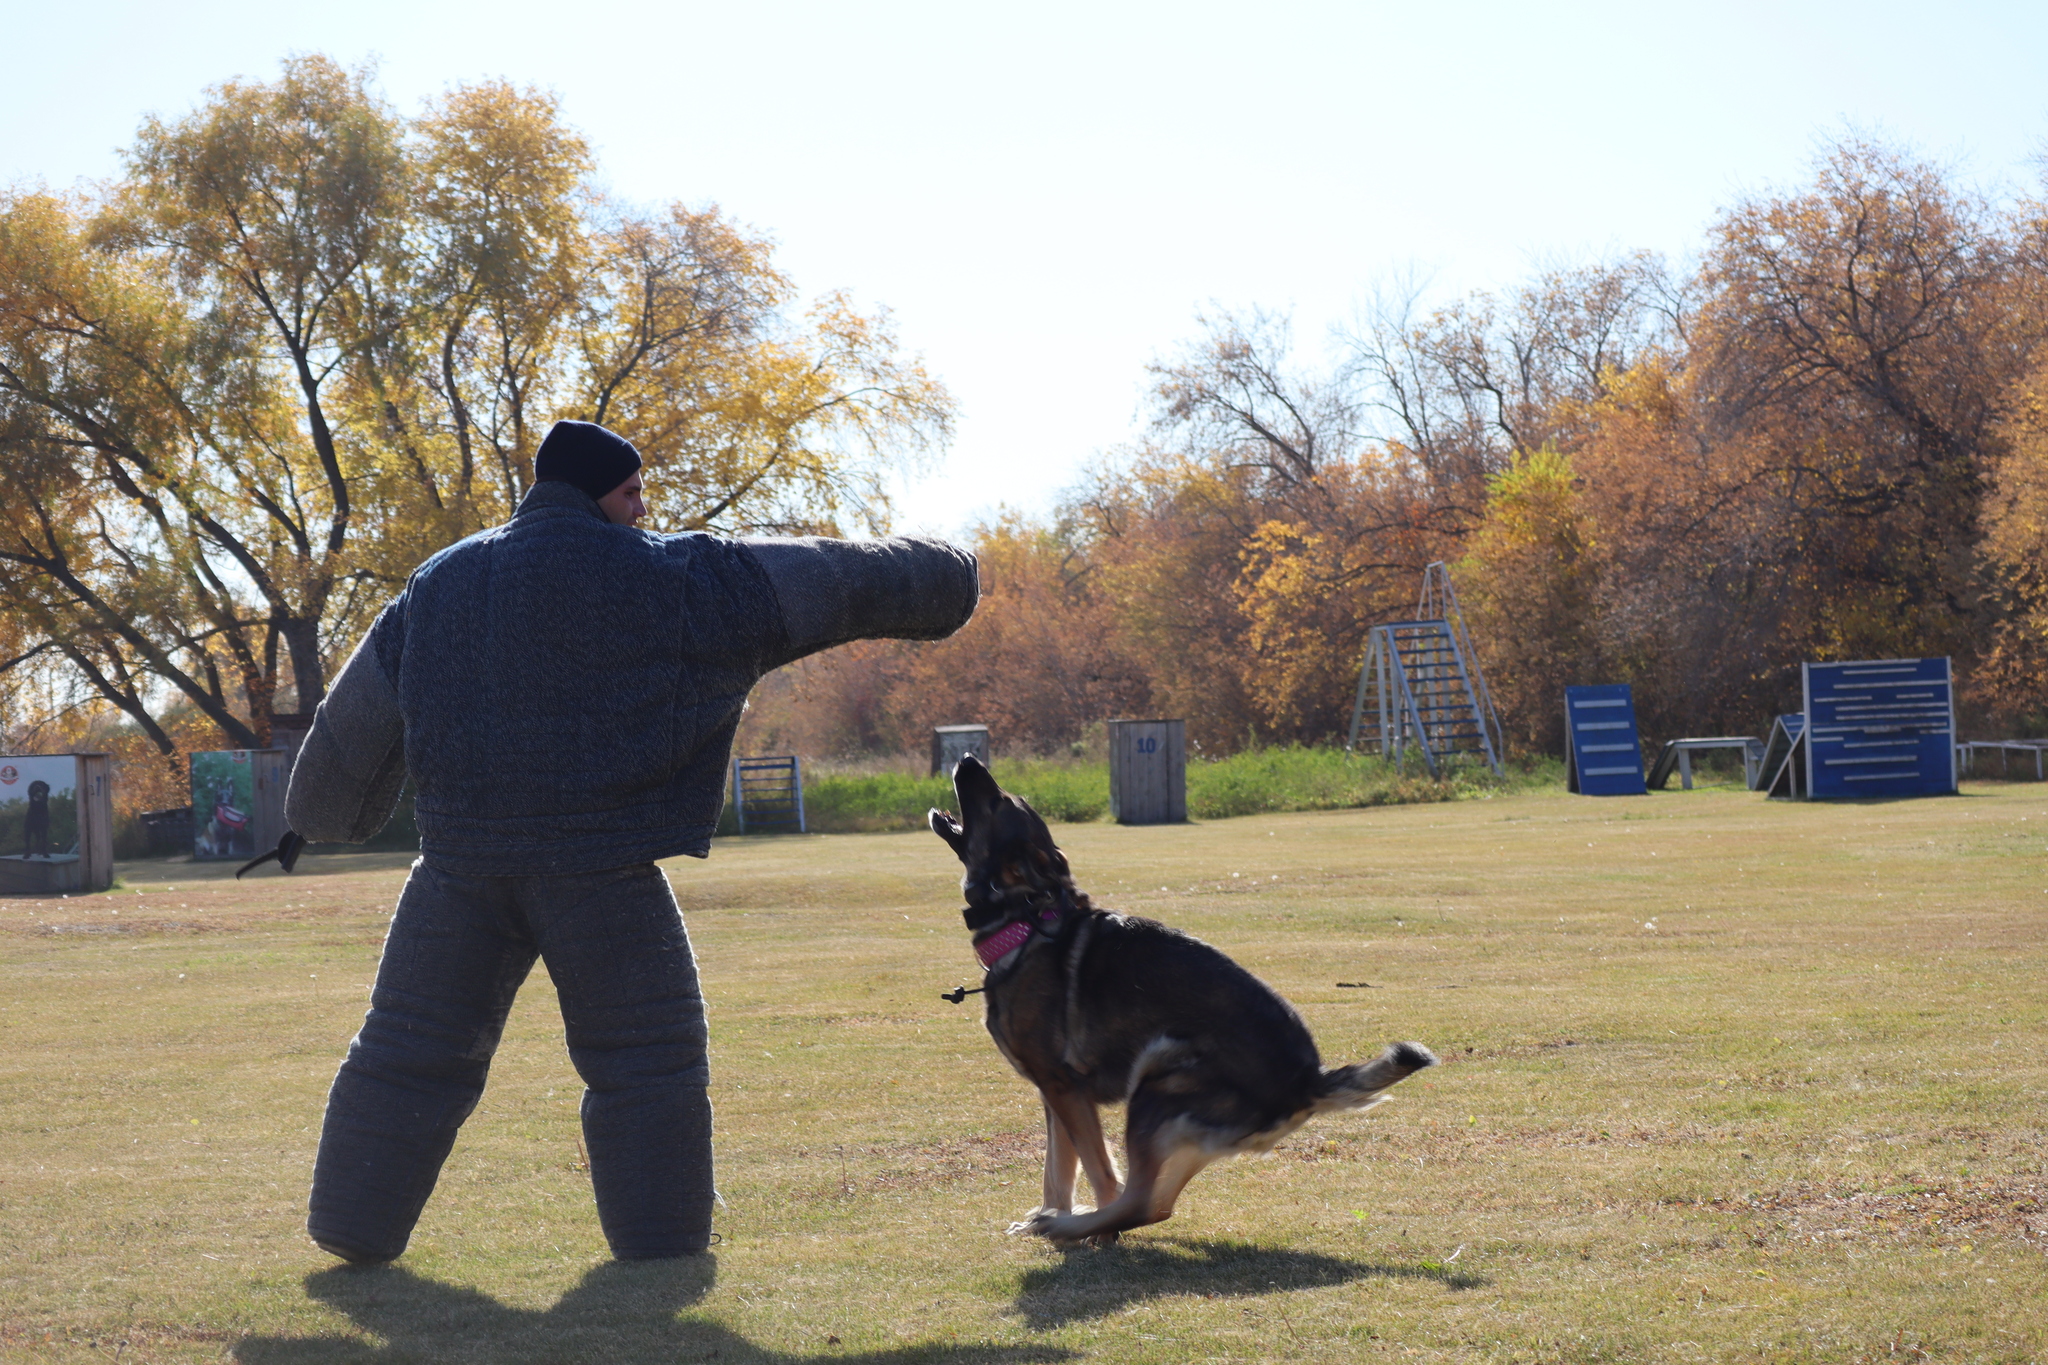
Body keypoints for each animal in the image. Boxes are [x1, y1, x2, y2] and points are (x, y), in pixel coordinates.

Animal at [933, 757, 1441, 1252]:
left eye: (999, 802)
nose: (967, 758)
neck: (1022, 921)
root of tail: (1307, 1079)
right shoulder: (1054, 1095)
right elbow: (1058, 1168)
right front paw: (1048, 1214)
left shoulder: (1067, 1091)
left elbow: (1097, 1170)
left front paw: (1090, 1231)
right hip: (1178, 1132)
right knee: (1158, 1205)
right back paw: (1068, 1223)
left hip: (1155, 1081)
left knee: (1140, 1199)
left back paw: (1073, 1227)